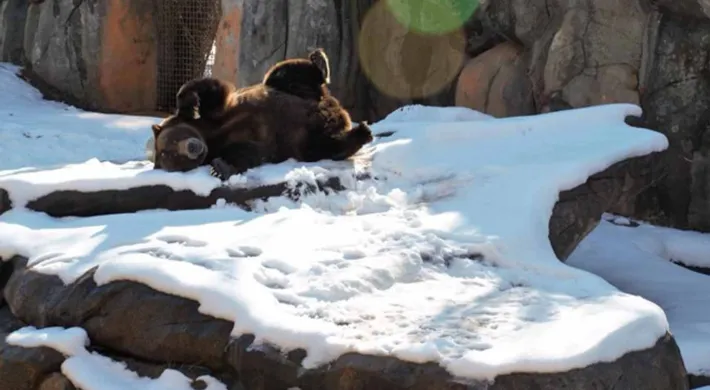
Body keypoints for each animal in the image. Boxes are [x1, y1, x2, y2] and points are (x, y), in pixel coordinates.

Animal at [153, 76, 376, 180]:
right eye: (171, 156)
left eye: (173, 140)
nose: (192, 147)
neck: (209, 137)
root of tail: (339, 114)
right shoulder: (252, 142)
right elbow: (246, 153)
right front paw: (220, 168)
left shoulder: (220, 113)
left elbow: (211, 89)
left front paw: (188, 102)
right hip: (303, 140)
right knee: (321, 146)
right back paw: (360, 134)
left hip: (310, 101)